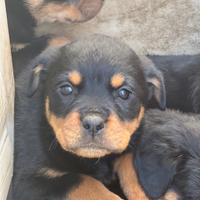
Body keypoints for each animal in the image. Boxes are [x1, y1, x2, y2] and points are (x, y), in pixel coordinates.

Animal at [11, 34, 166, 200]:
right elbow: (84, 181)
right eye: (66, 89)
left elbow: (133, 167)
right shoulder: (27, 180)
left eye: (124, 93)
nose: (93, 123)